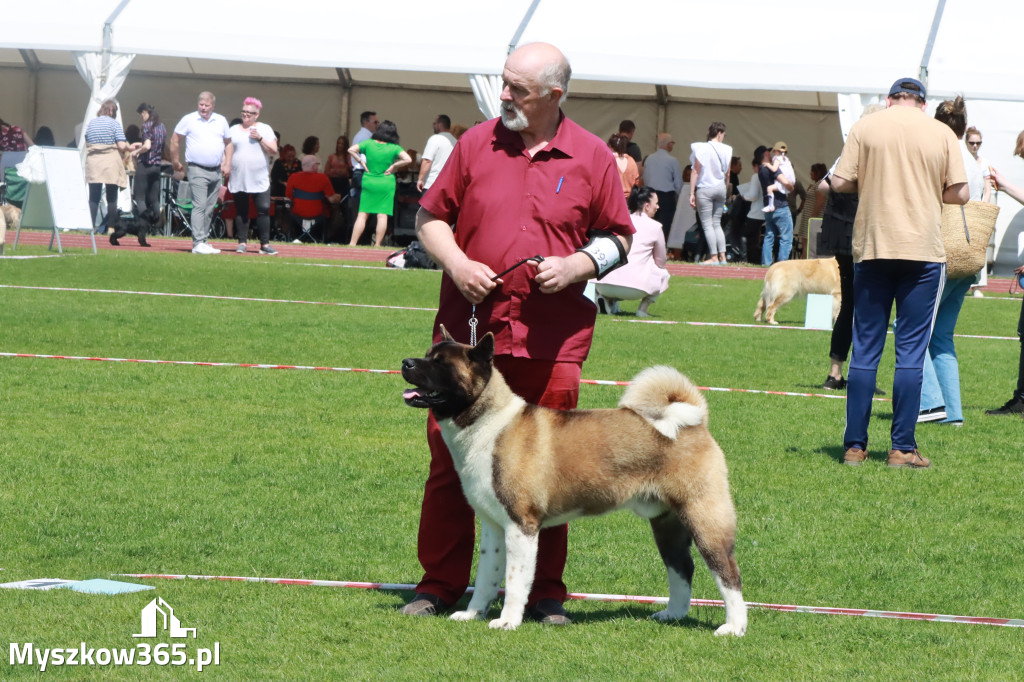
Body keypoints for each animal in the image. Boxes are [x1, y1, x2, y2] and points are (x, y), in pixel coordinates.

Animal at [403, 327, 749, 634]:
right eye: (426, 355)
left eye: (440, 363)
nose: (406, 362)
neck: (489, 423)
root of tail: (694, 421)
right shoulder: (493, 526)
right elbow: (486, 577)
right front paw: (473, 613)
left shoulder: (521, 526)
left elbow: (515, 581)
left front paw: (508, 621)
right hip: (667, 522)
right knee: (682, 568)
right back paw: (673, 614)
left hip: (703, 516)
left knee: (728, 573)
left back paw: (734, 627)